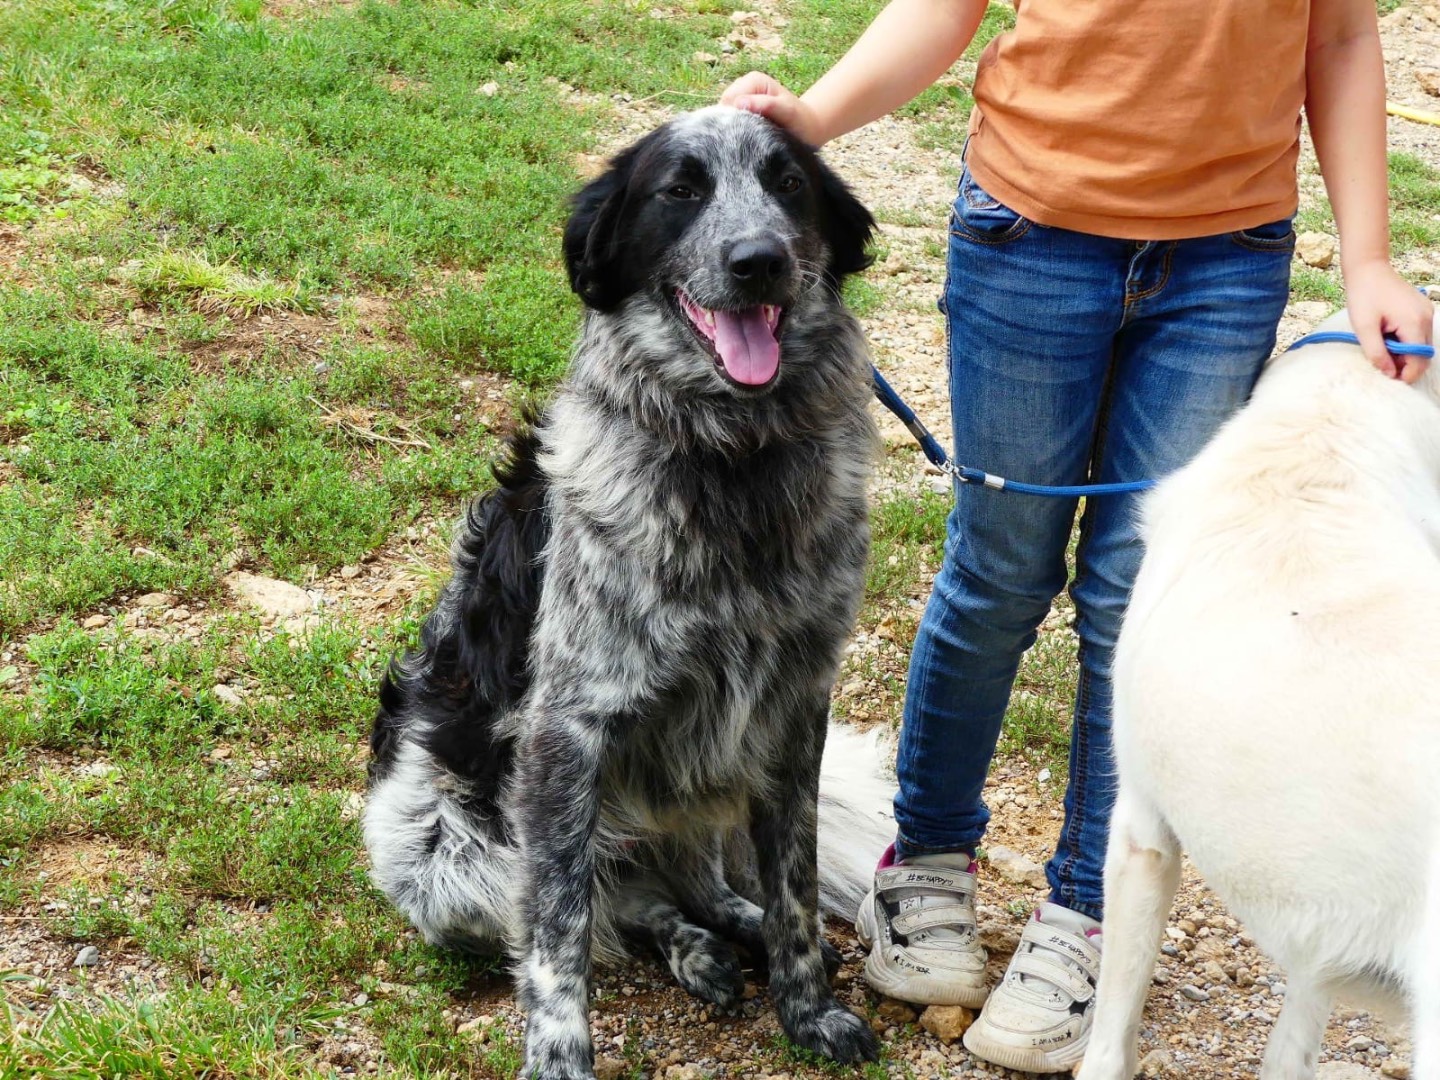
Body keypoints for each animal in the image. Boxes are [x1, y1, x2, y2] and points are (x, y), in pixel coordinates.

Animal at [362, 110, 887, 1080]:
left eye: (788, 182)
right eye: (679, 189)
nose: (758, 260)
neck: (733, 458)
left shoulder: (794, 708)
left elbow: (793, 887)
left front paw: (807, 1010)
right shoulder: (569, 728)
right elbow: (557, 934)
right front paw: (560, 1059)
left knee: (692, 880)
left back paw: (732, 929)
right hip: (447, 856)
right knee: (606, 901)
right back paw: (693, 949)